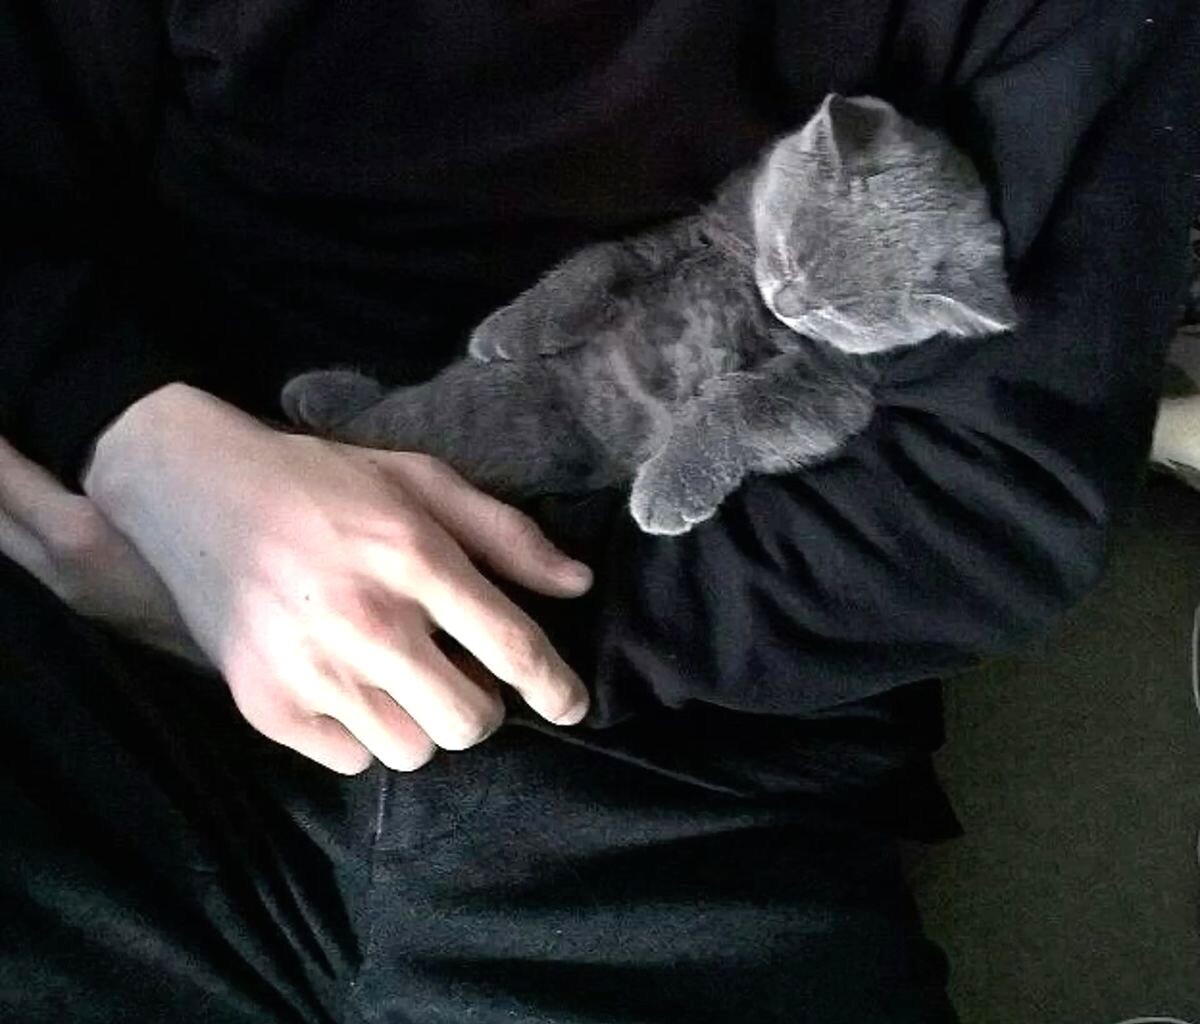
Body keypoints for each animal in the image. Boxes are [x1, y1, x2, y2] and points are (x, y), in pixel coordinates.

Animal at [281, 94, 1017, 536]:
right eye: (787, 251)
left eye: (842, 315)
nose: (785, 302)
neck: (748, 282)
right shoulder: (685, 237)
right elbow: (597, 264)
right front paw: (507, 329)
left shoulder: (834, 386)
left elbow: (737, 405)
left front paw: (668, 487)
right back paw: (322, 393)